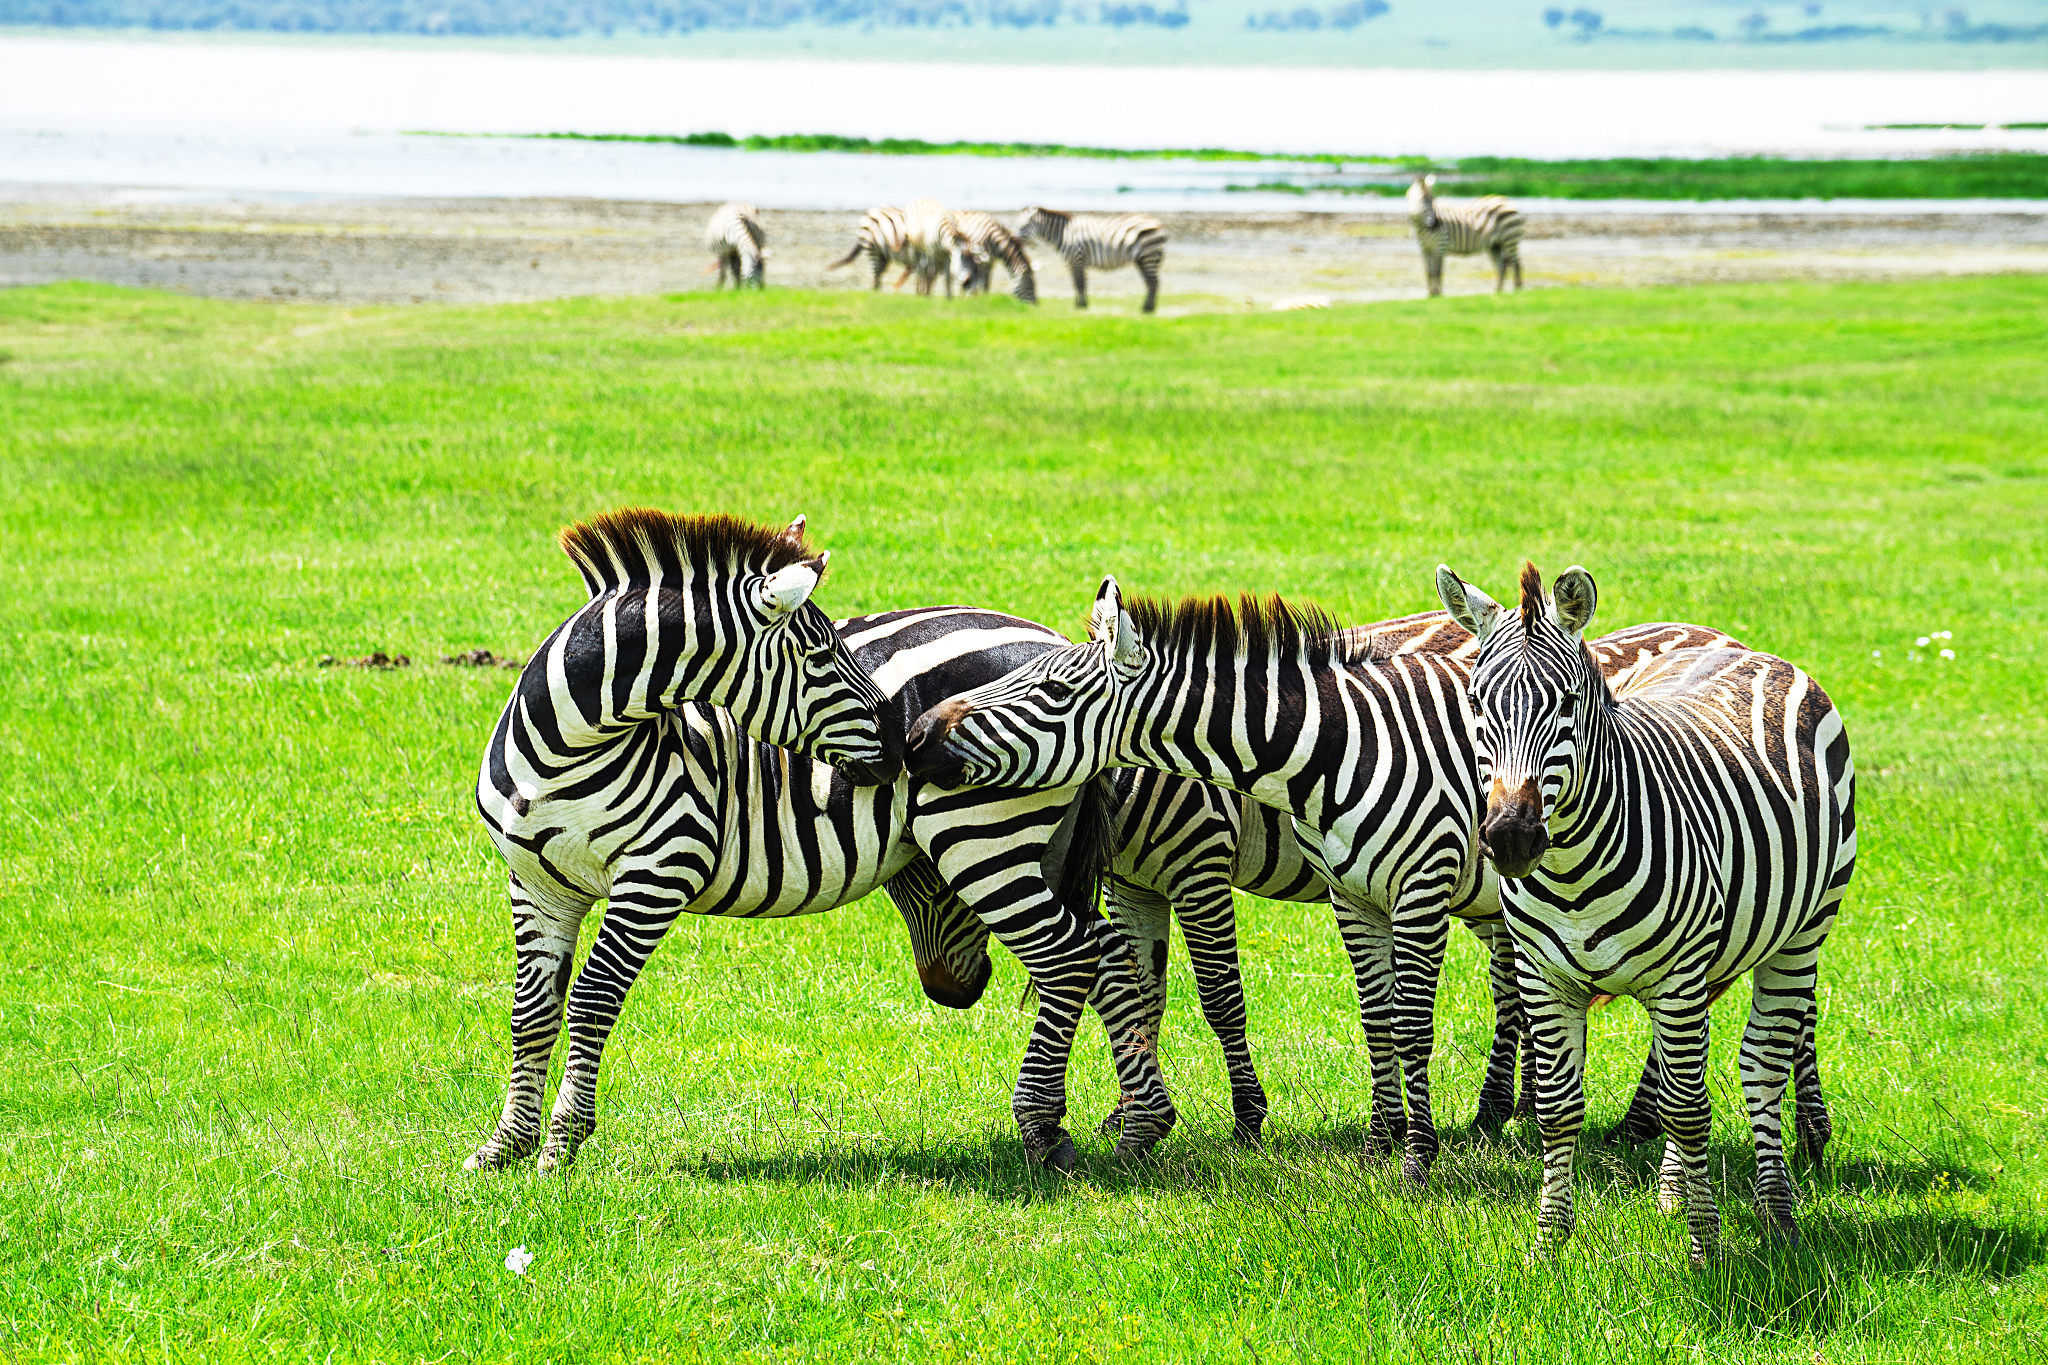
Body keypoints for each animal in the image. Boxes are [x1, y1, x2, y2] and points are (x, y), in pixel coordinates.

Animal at [467, 521, 1175, 1175]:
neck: (570, 748)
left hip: (982, 838)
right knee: (1107, 954)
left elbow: (592, 998)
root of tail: (1061, 644)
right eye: (818, 657)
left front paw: (560, 1145)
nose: (902, 743)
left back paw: (1046, 1132)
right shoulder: (535, 884)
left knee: (1069, 958)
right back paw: (1143, 1124)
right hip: (1043, 850)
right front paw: (505, 1148)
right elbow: (531, 1011)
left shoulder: (660, 870)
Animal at [1015, 207, 1167, 313]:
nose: (1014, 239)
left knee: (1153, 282)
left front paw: (1082, 306)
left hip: (1149, 255)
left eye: (1024, 226)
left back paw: (1147, 309)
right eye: (1017, 225)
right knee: (1151, 282)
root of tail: (1158, 223)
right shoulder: (1071, 262)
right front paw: (1078, 304)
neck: (1065, 234)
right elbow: (1076, 283)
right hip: (1142, 259)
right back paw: (1148, 307)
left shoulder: (1077, 258)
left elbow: (1080, 283)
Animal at [1090, 611, 1750, 1146]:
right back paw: (1512, 1109)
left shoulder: (1199, 860)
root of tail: (1726, 639)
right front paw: (1130, 1114)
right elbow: (1141, 995)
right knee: (1517, 993)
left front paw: (1246, 1119)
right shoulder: (1130, 888)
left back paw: (1633, 1122)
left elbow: (1219, 997)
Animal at [1436, 563, 1854, 1265]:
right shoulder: (1547, 980)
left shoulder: (1679, 977)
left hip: (1801, 934)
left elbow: (1690, 1110)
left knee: (1760, 1067)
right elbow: (1559, 1109)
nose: (1510, 840)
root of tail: (1750, 651)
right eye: (1477, 706)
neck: (1573, 875)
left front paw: (1706, 1249)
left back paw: (1777, 1217)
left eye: (1565, 705)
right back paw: (1673, 1191)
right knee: (1677, 1071)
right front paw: (1550, 1245)